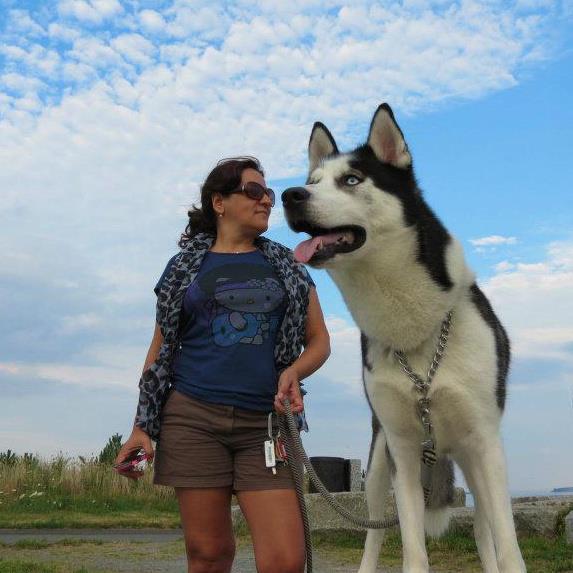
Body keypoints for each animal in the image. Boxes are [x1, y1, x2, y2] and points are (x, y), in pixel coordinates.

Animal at [282, 104, 528, 572]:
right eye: (313, 181)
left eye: (352, 179)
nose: (289, 195)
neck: (415, 331)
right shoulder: (404, 451)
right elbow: (412, 550)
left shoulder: (487, 443)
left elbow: (508, 547)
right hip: (380, 466)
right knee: (373, 535)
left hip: (472, 462)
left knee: (485, 530)